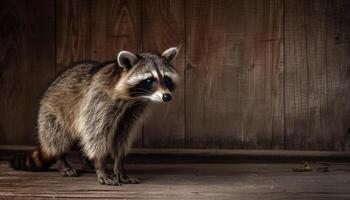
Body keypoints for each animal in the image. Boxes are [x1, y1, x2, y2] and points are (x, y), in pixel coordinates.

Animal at [9, 47, 179, 186]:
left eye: (166, 78)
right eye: (149, 80)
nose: (166, 97)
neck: (131, 99)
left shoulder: (130, 114)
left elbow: (121, 138)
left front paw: (119, 165)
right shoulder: (98, 102)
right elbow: (96, 134)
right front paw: (101, 164)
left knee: (82, 138)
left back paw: (86, 162)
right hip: (52, 111)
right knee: (57, 135)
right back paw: (62, 160)